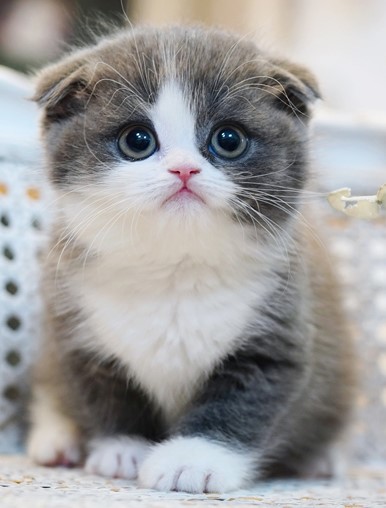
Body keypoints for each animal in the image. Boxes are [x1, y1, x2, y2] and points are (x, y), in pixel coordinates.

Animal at [27, 24, 356, 492]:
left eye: (228, 139)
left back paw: (322, 458)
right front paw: (123, 449)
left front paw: (192, 462)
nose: (184, 169)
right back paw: (57, 439)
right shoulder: (75, 329)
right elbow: (106, 396)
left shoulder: (281, 332)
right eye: (137, 140)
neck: (174, 266)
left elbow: (238, 404)